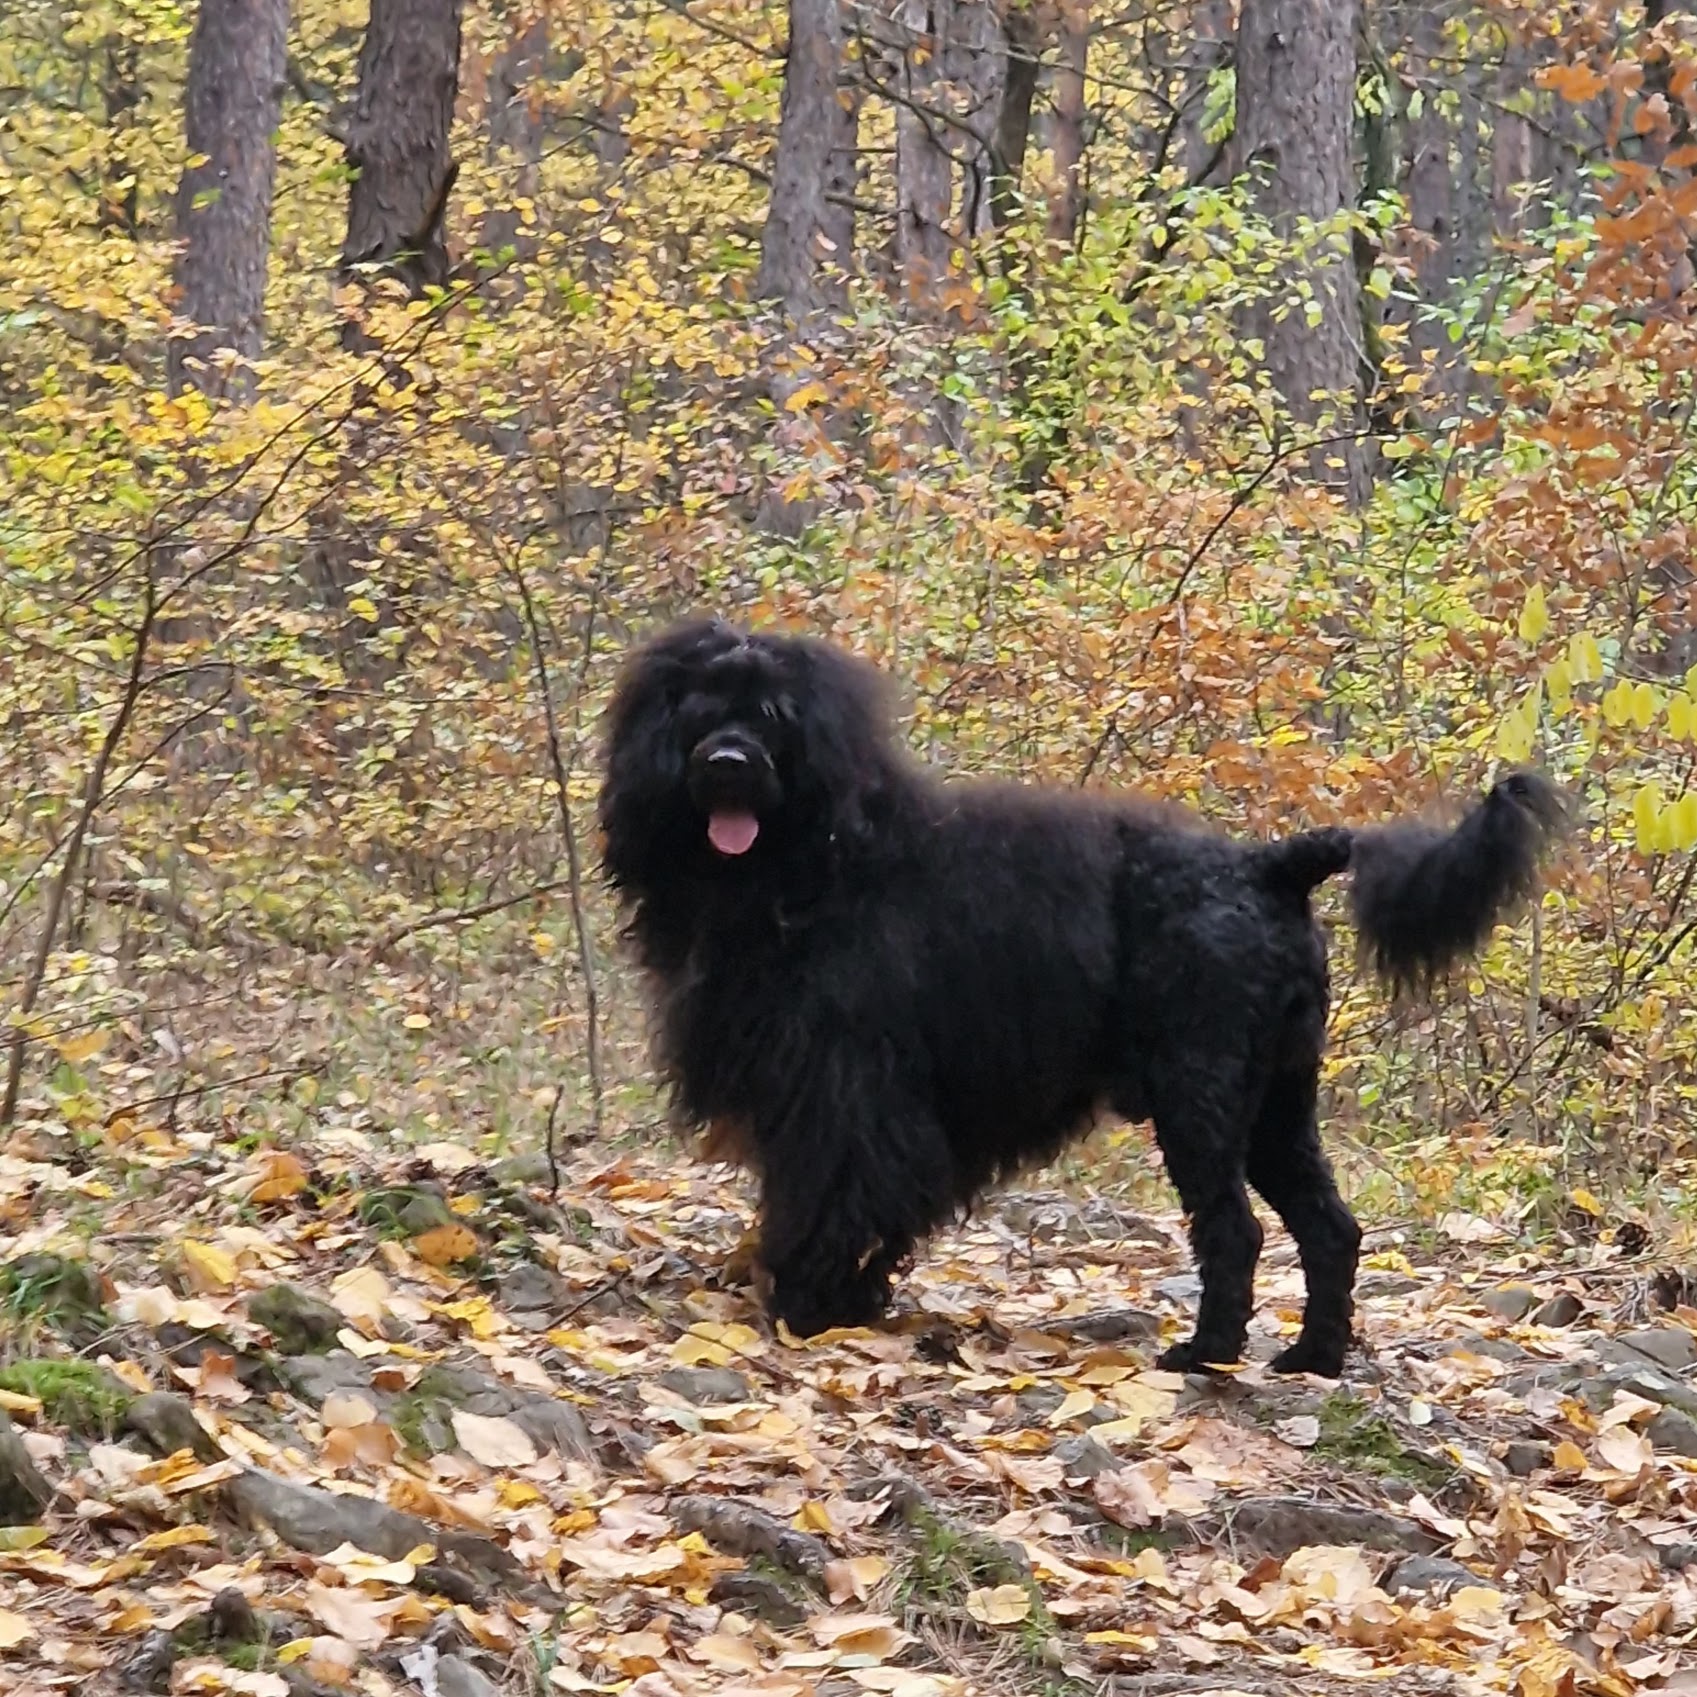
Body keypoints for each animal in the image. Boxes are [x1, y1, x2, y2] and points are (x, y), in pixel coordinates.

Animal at [600, 617, 1561, 1371]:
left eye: (774, 715)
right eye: (697, 710)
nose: (727, 762)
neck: (816, 861)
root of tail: (1272, 864)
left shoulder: (846, 1089)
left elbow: (836, 1192)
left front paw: (810, 1300)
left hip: (1200, 1091)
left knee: (1234, 1230)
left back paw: (1205, 1353)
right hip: (1276, 1103)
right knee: (1330, 1227)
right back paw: (1311, 1357)